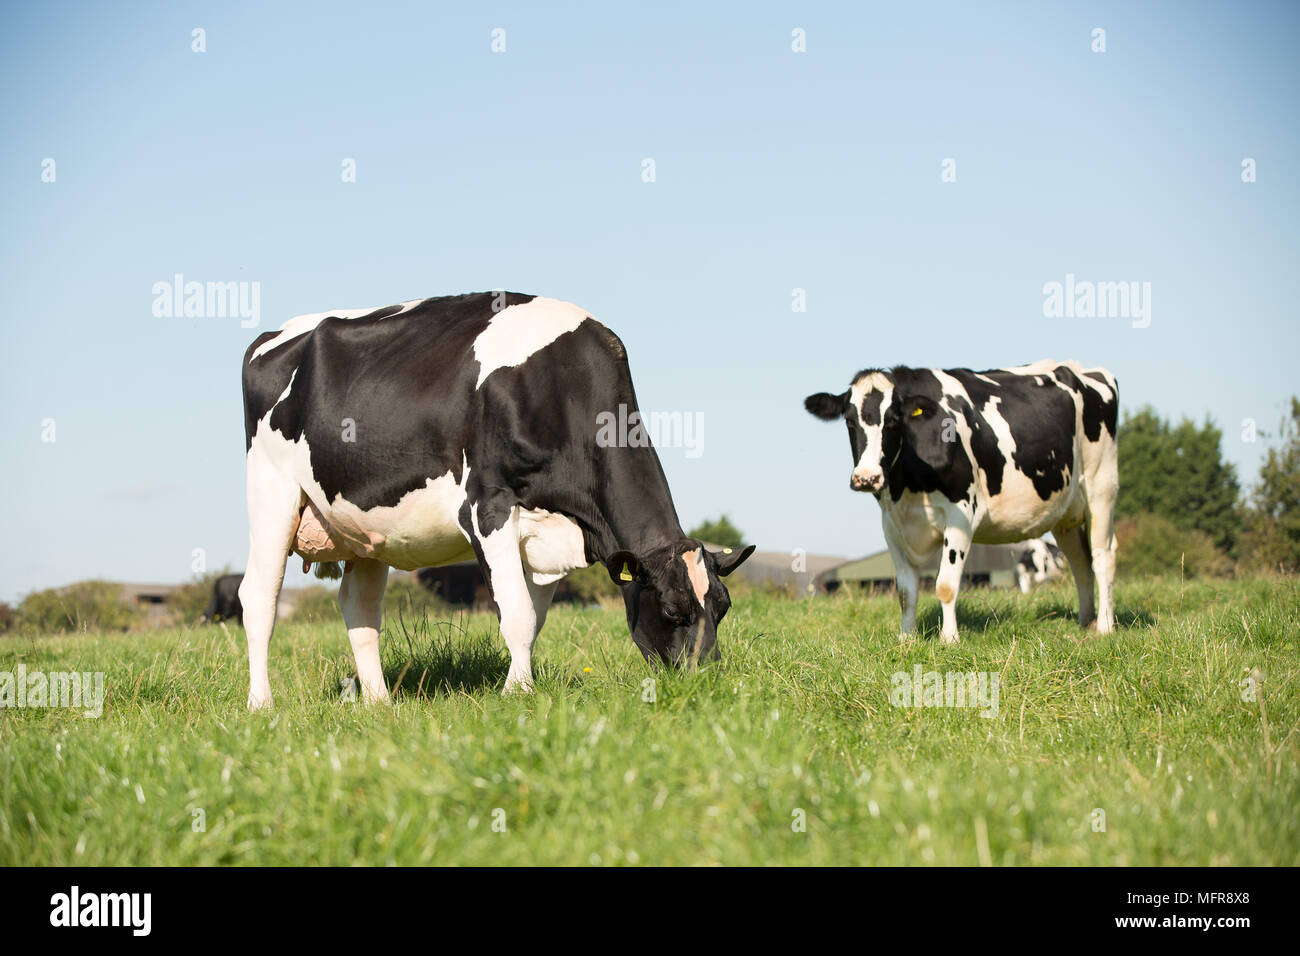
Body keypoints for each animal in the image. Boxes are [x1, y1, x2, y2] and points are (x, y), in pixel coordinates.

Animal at [239, 292, 754, 709]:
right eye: (670, 611)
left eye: (723, 608)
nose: (706, 682)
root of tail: (274, 334)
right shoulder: (487, 506)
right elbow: (517, 615)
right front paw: (518, 693)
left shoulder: (549, 536)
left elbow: (533, 618)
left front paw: (518, 682)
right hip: (271, 491)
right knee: (259, 597)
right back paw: (261, 704)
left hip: (366, 528)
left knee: (359, 609)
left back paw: (379, 703)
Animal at [805, 360, 1118, 642]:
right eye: (849, 420)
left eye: (892, 421)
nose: (866, 478)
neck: (907, 486)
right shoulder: (892, 524)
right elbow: (905, 591)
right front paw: (907, 638)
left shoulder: (961, 513)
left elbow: (945, 585)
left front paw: (949, 639)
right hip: (1065, 514)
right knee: (1081, 563)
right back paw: (1085, 622)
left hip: (1101, 488)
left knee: (1102, 557)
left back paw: (1105, 626)